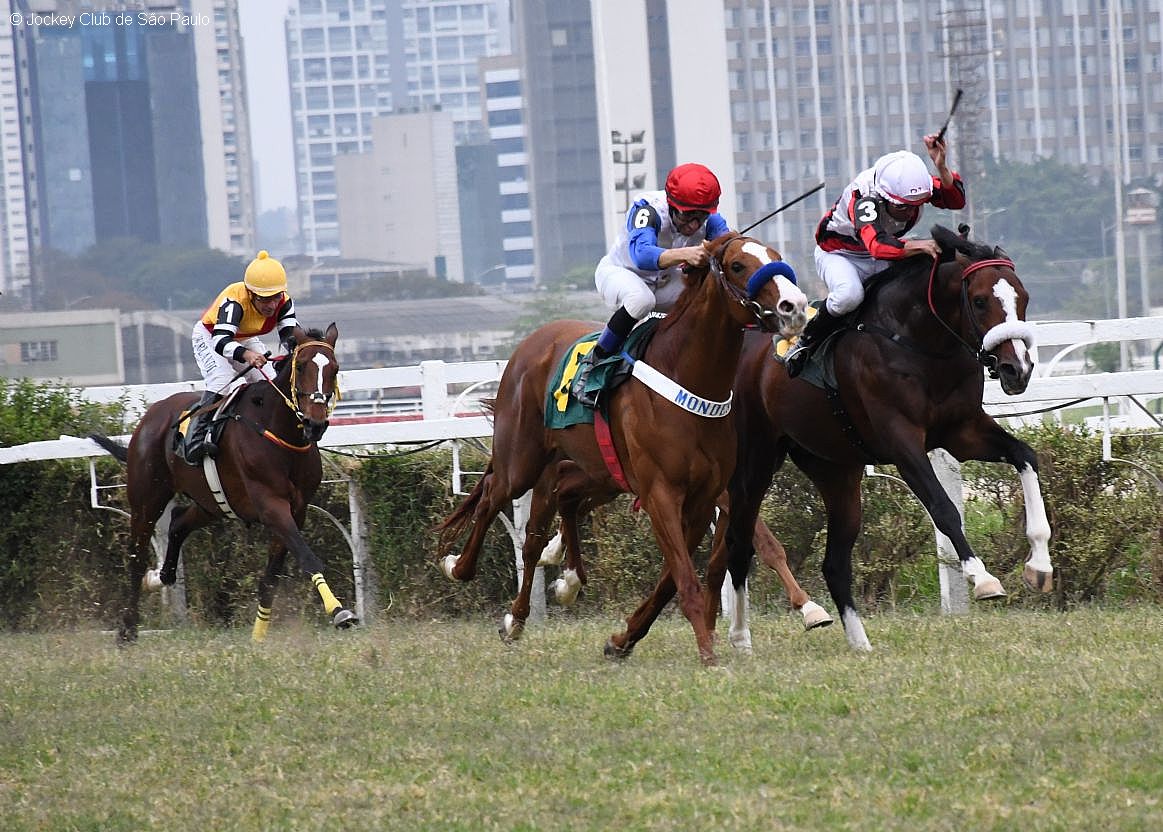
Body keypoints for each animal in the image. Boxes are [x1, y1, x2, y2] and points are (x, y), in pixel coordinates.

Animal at [90, 325, 355, 642]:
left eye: (335, 369)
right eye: (301, 366)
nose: (315, 424)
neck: (280, 431)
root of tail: (151, 415)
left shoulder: (297, 509)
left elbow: (271, 578)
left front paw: (258, 636)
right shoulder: (270, 504)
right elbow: (307, 557)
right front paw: (339, 611)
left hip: (213, 502)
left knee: (178, 521)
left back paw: (160, 576)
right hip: (146, 498)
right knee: (136, 556)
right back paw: (127, 629)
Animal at [437, 232, 809, 665]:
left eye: (776, 256)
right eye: (737, 265)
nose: (795, 306)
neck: (688, 378)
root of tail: (530, 342)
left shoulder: (703, 498)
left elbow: (674, 579)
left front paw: (623, 639)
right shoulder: (661, 493)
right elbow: (687, 576)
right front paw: (708, 654)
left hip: (598, 472)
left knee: (553, 511)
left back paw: (552, 592)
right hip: (522, 461)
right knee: (494, 502)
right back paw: (465, 573)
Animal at [697, 224, 1056, 656]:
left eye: (1024, 297)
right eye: (981, 300)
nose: (1018, 369)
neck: (917, 343)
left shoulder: (963, 432)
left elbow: (1025, 456)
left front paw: (1039, 566)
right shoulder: (902, 440)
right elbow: (943, 507)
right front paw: (983, 578)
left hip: (835, 470)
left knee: (834, 563)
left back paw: (860, 643)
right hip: (755, 463)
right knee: (739, 542)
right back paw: (741, 637)